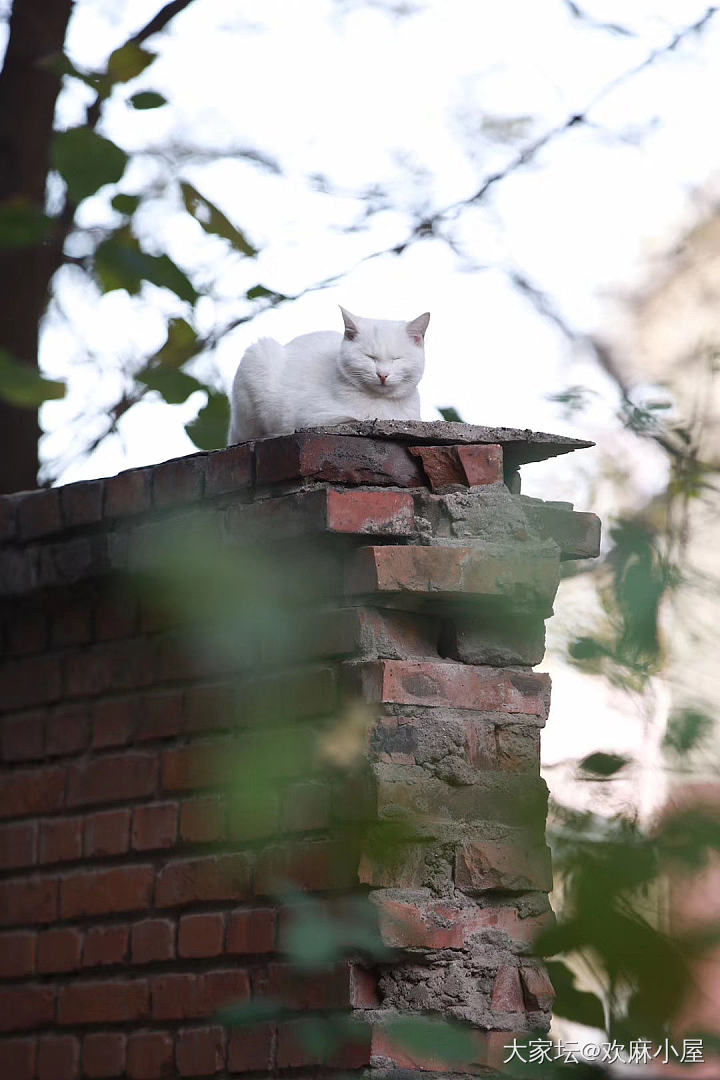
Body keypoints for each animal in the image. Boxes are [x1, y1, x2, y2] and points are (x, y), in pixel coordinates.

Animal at [229, 304, 427, 442]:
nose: (383, 374)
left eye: (396, 359)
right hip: (257, 356)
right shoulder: (311, 417)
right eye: (369, 357)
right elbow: (349, 418)